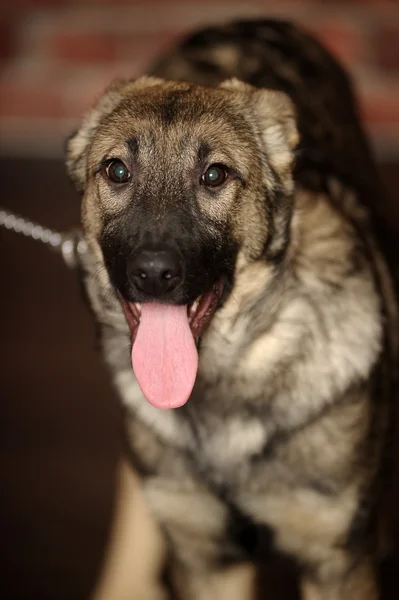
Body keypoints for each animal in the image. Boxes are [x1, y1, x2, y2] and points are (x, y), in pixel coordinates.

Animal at [67, 18, 398, 600]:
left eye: (215, 176)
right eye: (117, 171)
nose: (153, 273)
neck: (225, 378)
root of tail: (239, 20)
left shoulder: (336, 562)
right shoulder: (205, 561)